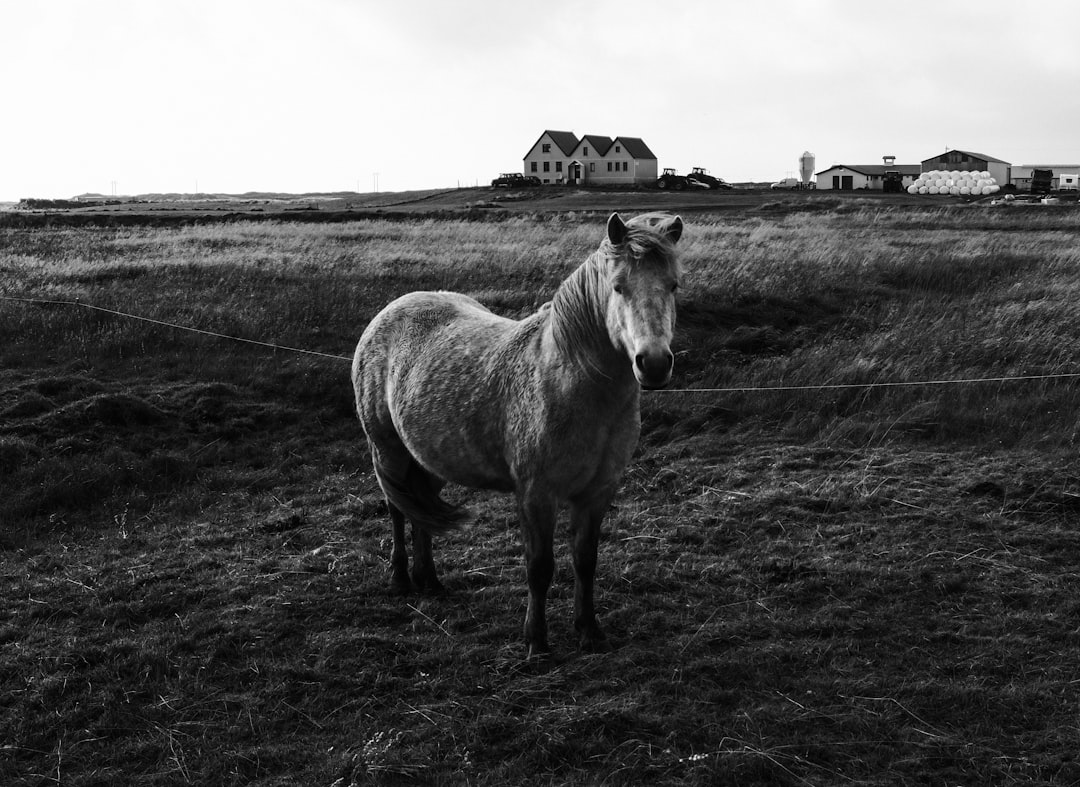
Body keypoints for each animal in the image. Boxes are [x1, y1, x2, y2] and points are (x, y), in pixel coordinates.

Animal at [354, 210, 682, 656]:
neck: (569, 381)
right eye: (618, 286)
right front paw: (536, 641)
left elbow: (586, 561)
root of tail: (390, 311)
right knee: (397, 508)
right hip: (388, 450)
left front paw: (588, 630)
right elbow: (540, 567)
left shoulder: (597, 493)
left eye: (673, 285)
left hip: (430, 458)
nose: (654, 364)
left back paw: (430, 581)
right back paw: (401, 579)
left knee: (423, 511)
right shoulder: (535, 493)